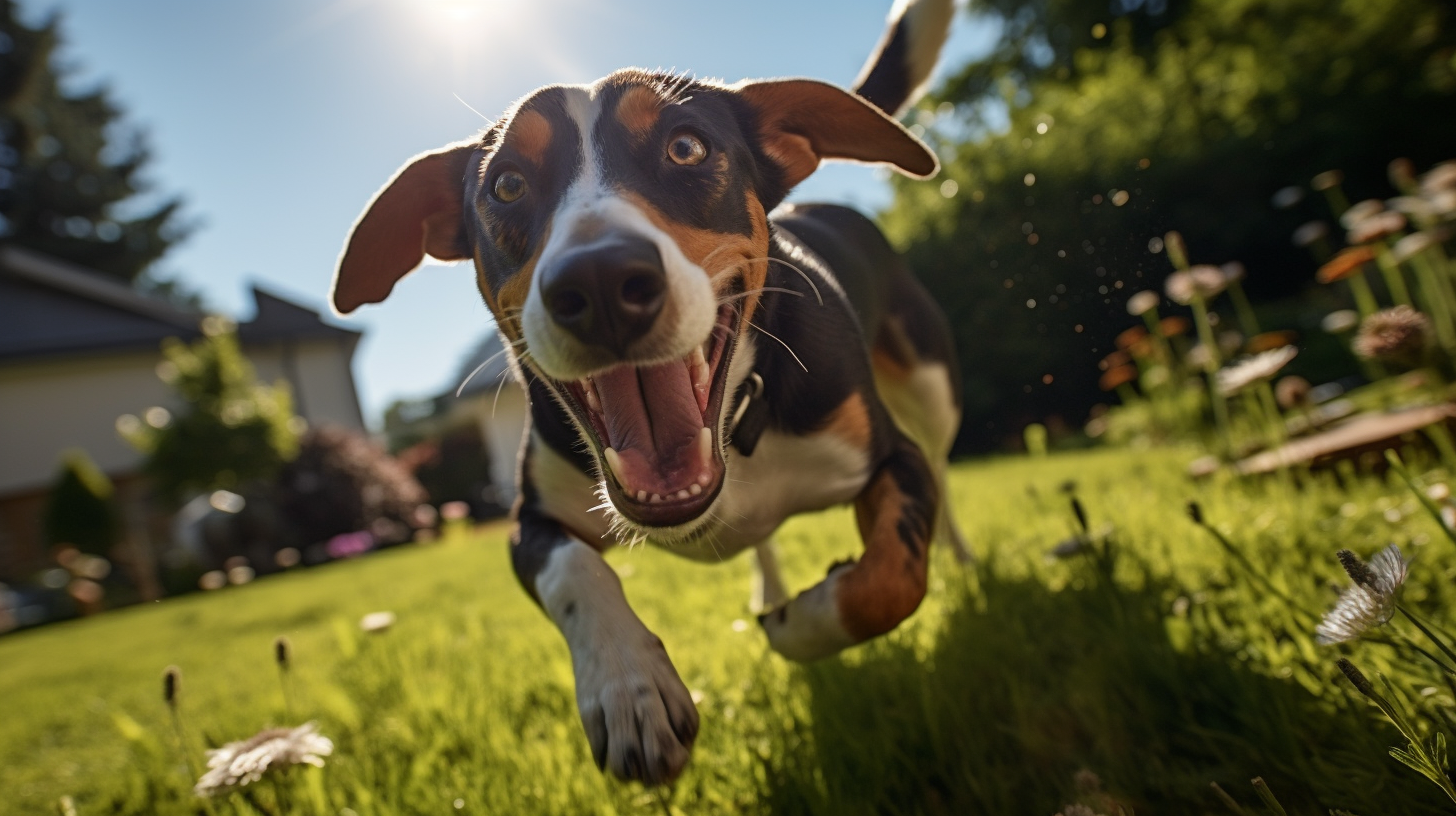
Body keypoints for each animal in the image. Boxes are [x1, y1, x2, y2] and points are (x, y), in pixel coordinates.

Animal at [330, 0, 966, 786]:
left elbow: (889, 578)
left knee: (941, 468)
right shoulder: (530, 519)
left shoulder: (884, 453)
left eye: (686, 148)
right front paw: (630, 691)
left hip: (931, 389)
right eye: (506, 184)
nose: (600, 281)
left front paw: (802, 626)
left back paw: (962, 563)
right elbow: (572, 572)